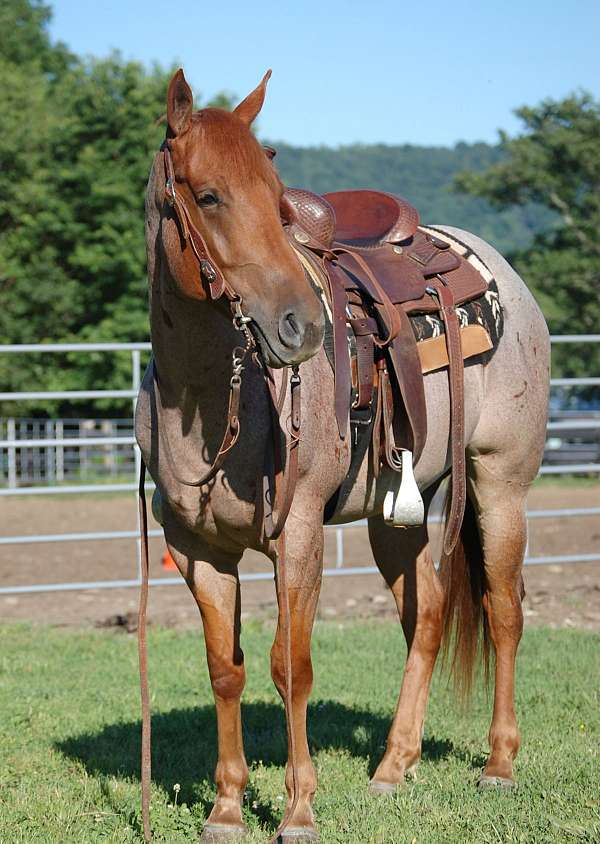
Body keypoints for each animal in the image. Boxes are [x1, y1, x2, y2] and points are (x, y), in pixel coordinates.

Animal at [135, 68, 550, 843]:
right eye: (208, 195)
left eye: (277, 197)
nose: (299, 324)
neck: (208, 401)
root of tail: (499, 272)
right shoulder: (198, 550)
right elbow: (226, 668)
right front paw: (227, 808)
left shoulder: (297, 537)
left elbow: (291, 667)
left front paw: (298, 809)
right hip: (396, 515)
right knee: (427, 615)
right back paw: (393, 766)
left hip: (499, 483)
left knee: (504, 609)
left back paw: (500, 764)